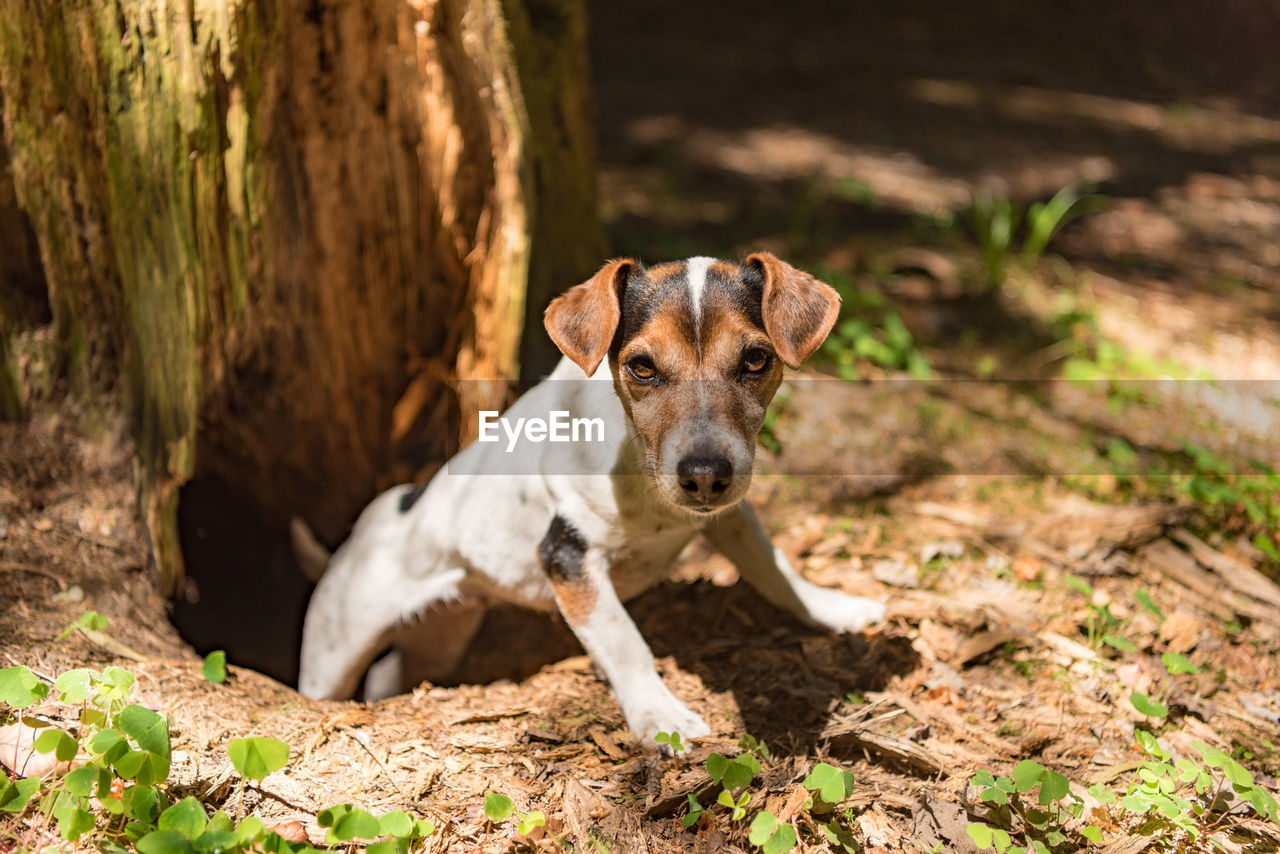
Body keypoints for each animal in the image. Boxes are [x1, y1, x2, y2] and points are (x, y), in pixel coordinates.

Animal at [294, 252, 885, 747]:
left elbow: (774, 568)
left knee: (388, 675)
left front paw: (830, 606)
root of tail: (382, 515)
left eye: (757, 359)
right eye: (642, 367)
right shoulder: (568, 557)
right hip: (334, 652)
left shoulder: (730, 518)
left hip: (439, 639)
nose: (704, 476)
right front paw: (658, 716)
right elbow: (624, 639)